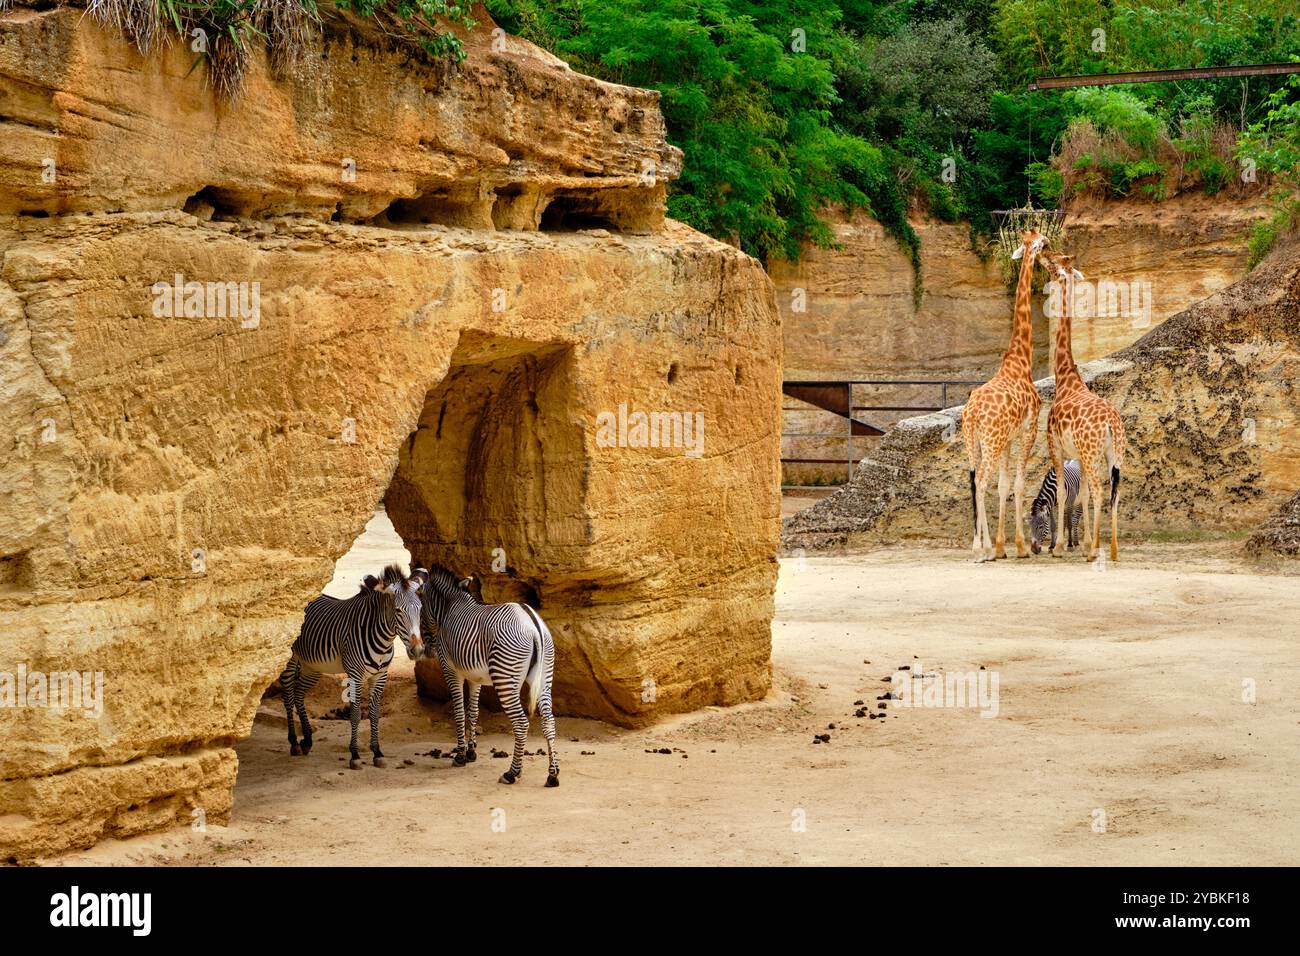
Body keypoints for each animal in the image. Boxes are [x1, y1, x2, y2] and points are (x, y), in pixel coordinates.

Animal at [279, 564, 427, 769]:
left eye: (420, 609)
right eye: (398, 611)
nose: (418, 650)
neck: (383, 640)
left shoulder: (380, 676)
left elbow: (374, 714)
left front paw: (377, 752)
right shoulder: (355, 676)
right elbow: (356, 714)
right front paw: (355, 755)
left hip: (312, 666)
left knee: (298, 693)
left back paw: (307, 740)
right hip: (291, 659)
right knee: (287, 693)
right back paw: (294, 741)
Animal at [416, 563, 559, 787]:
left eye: (421, 611)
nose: (428, 650)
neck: (449, 608)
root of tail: (532, 623)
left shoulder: (451, 671)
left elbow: (459, 711)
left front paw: (460, 756)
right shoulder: (475, 678)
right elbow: (473, 711)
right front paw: (471, 751)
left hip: (505, 677)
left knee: (521, 723)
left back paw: (512, 773)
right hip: (545, 676)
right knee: (549, 721)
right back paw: (552, 774)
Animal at [961, 229, 1045, 562]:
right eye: (1042, 242)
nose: (1047, 246)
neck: (1021, 360)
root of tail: (971, 413)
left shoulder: (1009, 439)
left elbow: (1004, 484)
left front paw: (1001, 547)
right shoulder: (1029, 429)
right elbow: (1019, 484)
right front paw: (1019, 547)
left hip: (973, 441)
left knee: (975, 481)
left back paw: (981, 547)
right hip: (991, 440)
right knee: (981, 480)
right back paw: (979, 550)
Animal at [1037, 250, 1126, 562]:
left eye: (1053, 261)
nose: (1041, 253)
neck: (1066, 379)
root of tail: (1112, 423)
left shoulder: (1056, 446)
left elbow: (1065, 494)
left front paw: (1061, 546)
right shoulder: (1078, 454)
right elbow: (1083, 494)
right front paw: (1086, 542)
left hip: (1091, 452)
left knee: (1101, 491)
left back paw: (1097, 551)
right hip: (1114, 453)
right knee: (1114, 492)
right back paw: (1112, 550)